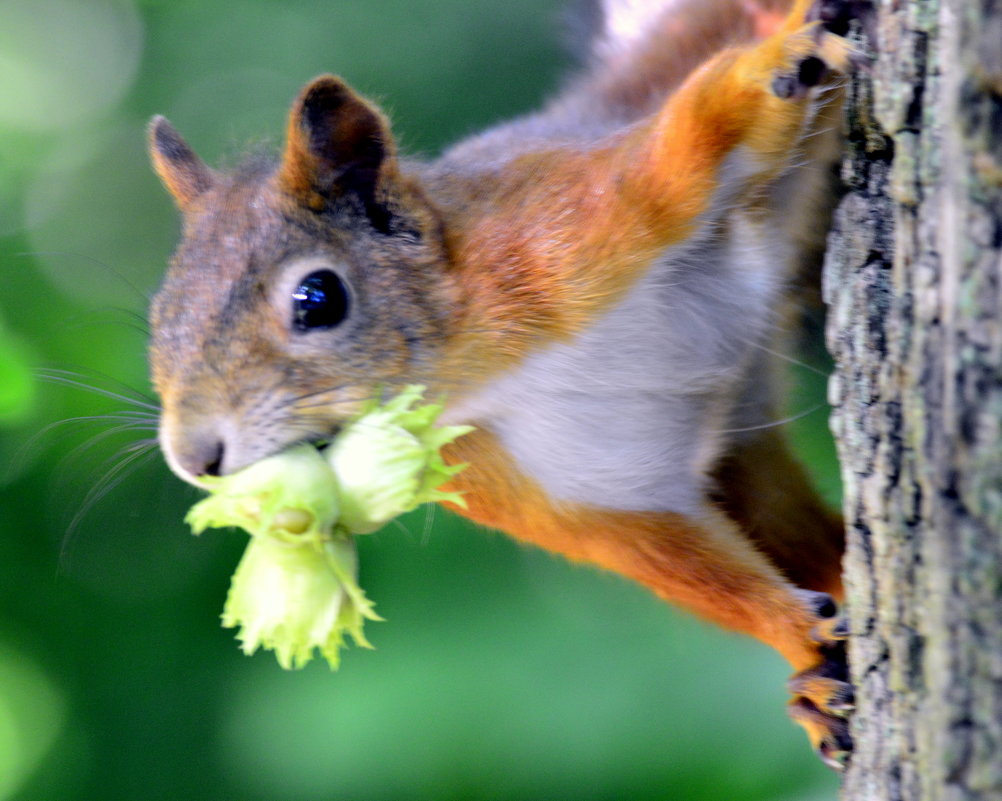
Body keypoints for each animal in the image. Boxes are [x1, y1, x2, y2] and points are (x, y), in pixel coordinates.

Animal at [146, 0, 861, 769]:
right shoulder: (564, 487)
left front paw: (779, 62)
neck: (475, 371)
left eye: (318, 298)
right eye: (159, 318)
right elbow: (670, 557)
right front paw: (799, 639)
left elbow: (689, 139)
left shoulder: (576, 219)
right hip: (741, 449)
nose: (193, 458)